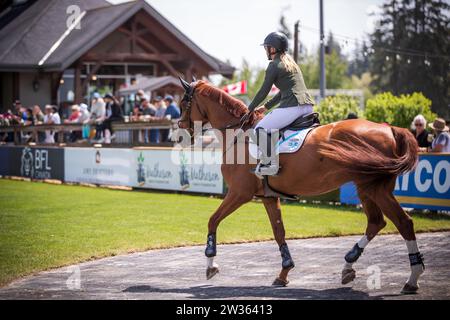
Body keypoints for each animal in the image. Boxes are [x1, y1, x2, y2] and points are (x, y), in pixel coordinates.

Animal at [177, 80, 426, 296]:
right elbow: (279, 232)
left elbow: (213, 220)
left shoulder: (239, 193)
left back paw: (412, 279)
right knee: (376, 222)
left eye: (182, 103)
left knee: (403, 222)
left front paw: (210, 264)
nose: (180, 132)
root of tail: (390, 128)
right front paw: (284, 272)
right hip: (366, 187)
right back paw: (348, 265)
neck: (239, 135)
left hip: (375, 189)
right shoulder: (268, 197)